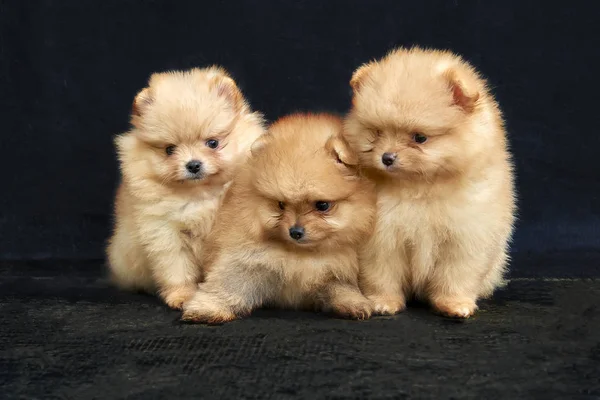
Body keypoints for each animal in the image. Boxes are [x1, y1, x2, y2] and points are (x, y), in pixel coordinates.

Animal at [107, 66, 264, 310]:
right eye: (169, 149)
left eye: (212, 143)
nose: (193, 165)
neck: (200, 195)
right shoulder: (164, 232)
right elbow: (176, 268)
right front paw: (181, 296)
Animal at [180, 113, 376, 324]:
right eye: (281, 204)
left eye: (322, 205)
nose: (295, 232)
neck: (302, 253)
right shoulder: (249, 256)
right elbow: (229, 282)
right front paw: (207, 308)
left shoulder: (335, 268)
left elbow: (342, 287)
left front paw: (354, 303)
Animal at [342, 47, 516, 318]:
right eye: (377, 133)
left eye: (420, 138)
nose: (387, 157)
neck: (420, 188)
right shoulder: (382, 240)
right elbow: (381, 274)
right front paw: (384, 302)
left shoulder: (464, 238)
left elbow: (456, 274)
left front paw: (455, 304)